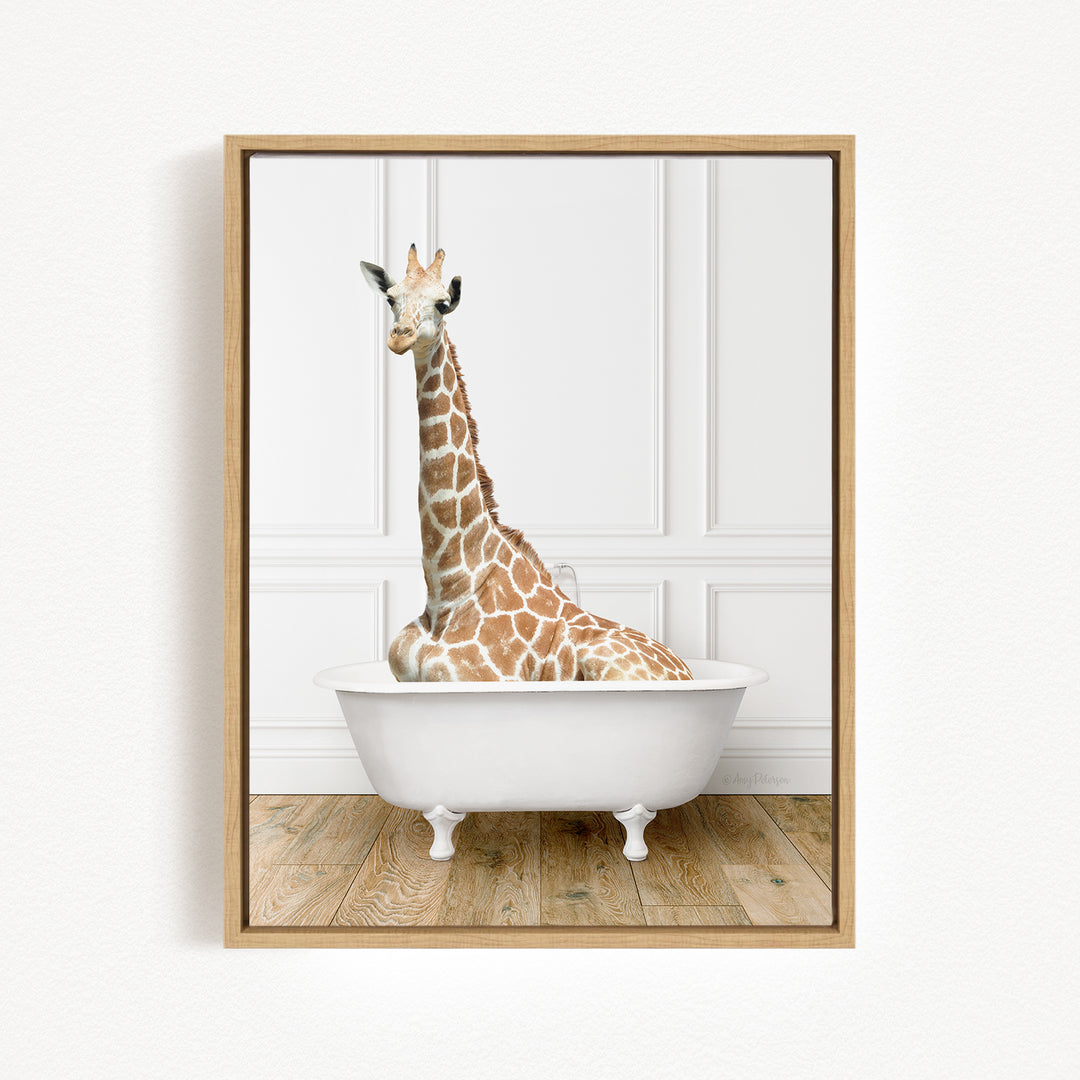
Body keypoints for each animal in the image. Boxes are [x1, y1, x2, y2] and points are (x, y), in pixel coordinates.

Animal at [360, 245, 694, 684]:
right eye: (391, 298)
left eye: (443, 303)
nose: (400, 337)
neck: (448, 585)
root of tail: (688, 671)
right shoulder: (403, 677)